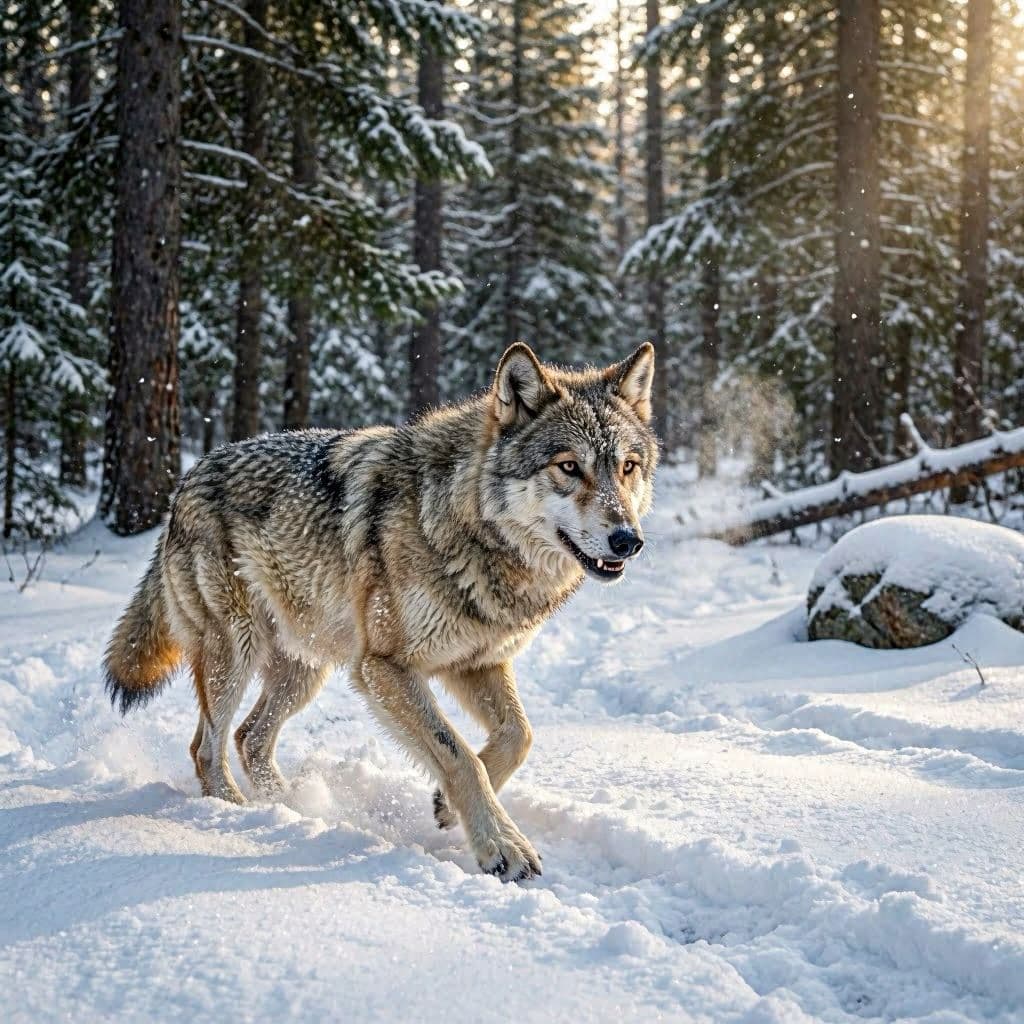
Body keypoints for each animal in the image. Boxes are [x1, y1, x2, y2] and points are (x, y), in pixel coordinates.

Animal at [104, 342, 658, 881]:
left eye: (627, 467)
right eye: (569, 467)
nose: (628, 541)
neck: (467, 524)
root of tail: (187, 479)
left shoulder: (478, 662)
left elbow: (518, 737)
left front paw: (446, 809)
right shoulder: (385, 667)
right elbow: (459, 755)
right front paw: (502, 846)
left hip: (306, 670)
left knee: (249, 737)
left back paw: (288, 805)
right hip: (237, 652)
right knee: (207, 747)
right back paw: (238, 813)